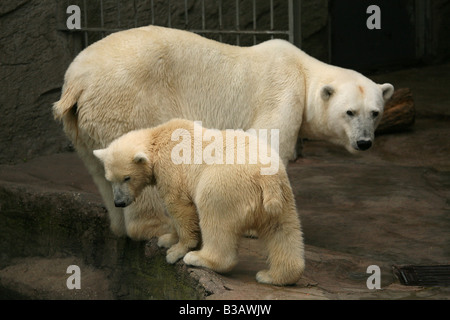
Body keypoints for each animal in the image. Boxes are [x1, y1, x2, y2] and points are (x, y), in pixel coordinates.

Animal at [53, 25, 394, 240]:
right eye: (349, 112)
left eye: (374, 112)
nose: (364, 142)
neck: (303, 70)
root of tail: (77, 81)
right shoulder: (282, 92)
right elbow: (266, 146)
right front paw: (257, 226)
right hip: (127, 100)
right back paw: (158, 227)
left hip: (84, 123)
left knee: (100, 167)